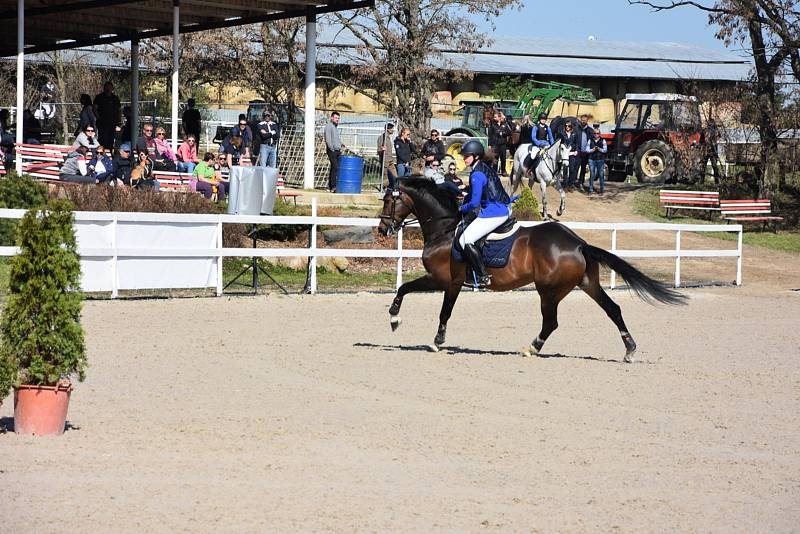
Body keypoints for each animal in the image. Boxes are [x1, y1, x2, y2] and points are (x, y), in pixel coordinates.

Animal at [378, 180, 684, 364]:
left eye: (389, 201)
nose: (382, 230)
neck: (444, 229)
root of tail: (578, 244)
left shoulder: (445, 281)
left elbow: (426, 301)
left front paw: (403, 324)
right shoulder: (446, 283)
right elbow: (416, 295)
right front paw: (407, 325)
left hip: (548, 291)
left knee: (551, 323)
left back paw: (531, 348)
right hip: (587, 284)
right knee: (613, 309)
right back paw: (629, 350)